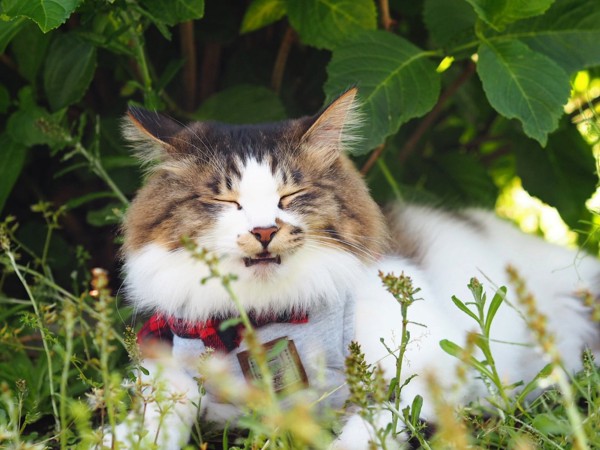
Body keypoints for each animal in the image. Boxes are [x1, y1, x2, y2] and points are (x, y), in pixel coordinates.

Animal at [112, 89, 600, 450]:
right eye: (224, 201)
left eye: (291, 196)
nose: (265, 230)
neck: (270, 316)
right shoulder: (174, 369)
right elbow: (161, 412)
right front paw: (121, 437)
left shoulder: (425, 366)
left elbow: (367, 428)